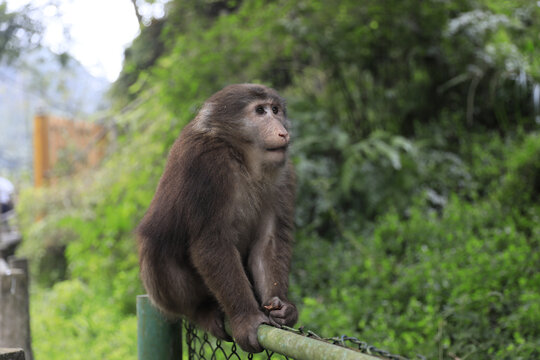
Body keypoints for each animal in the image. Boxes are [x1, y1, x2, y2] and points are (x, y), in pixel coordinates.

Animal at [134, 83, 296, 352]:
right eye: (260, 111)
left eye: (275, 110)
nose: (282, 132)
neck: (239, 156)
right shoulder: (205, 164)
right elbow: (211, 243)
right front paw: (247, 319)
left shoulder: (283, 173)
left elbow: (268, 241)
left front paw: (283, 308)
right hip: (163, 297)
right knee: (156, 249)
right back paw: (202, 310)